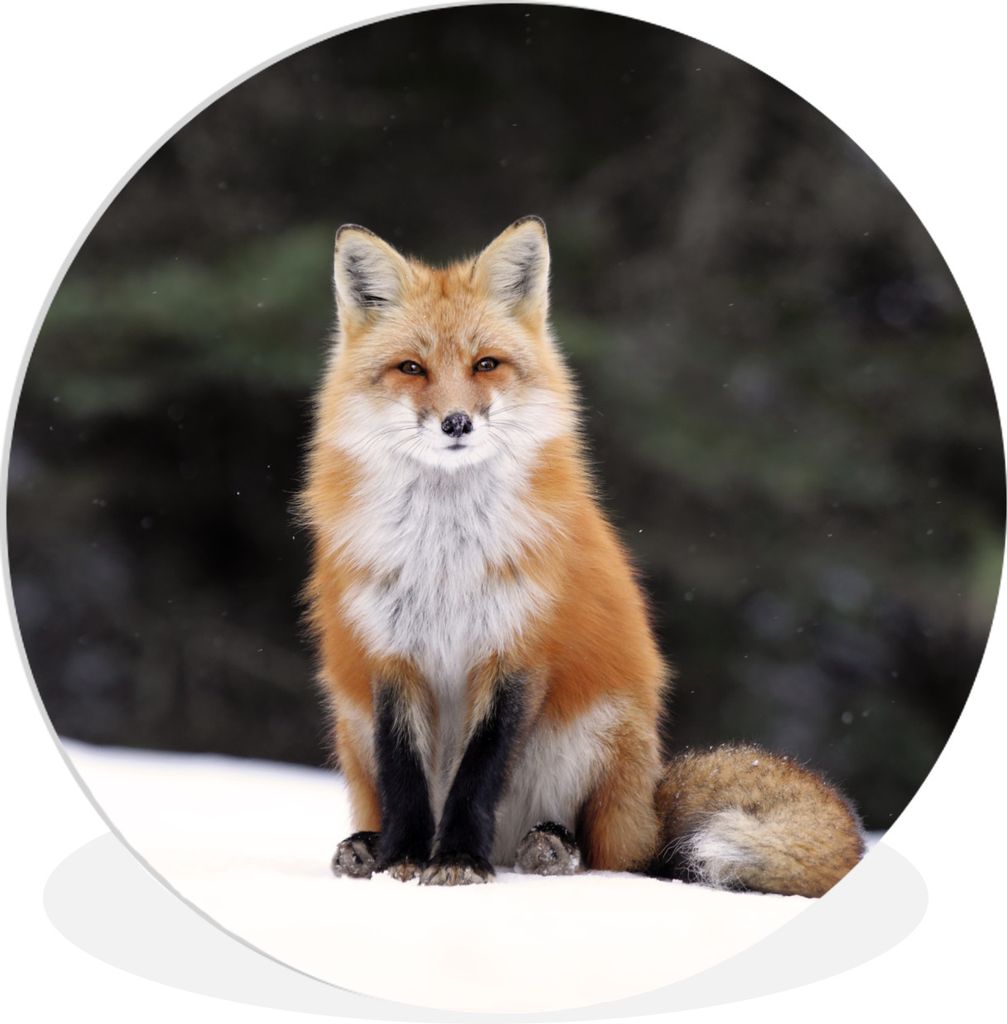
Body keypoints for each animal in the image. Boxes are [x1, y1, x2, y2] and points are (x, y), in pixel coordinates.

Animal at [300, 215, 865, 896]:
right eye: (411, 367)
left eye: (485, 364)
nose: (457, 423)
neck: (447, 557)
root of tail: (648, 805)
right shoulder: (389, 654)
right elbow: (405, 776)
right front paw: (403, 861)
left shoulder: (517, 650)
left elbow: (478, 775)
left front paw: (457, 859)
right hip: (350, 723)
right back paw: (365, 847)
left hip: (594, 734)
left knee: (608, 855)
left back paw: (550, 848)